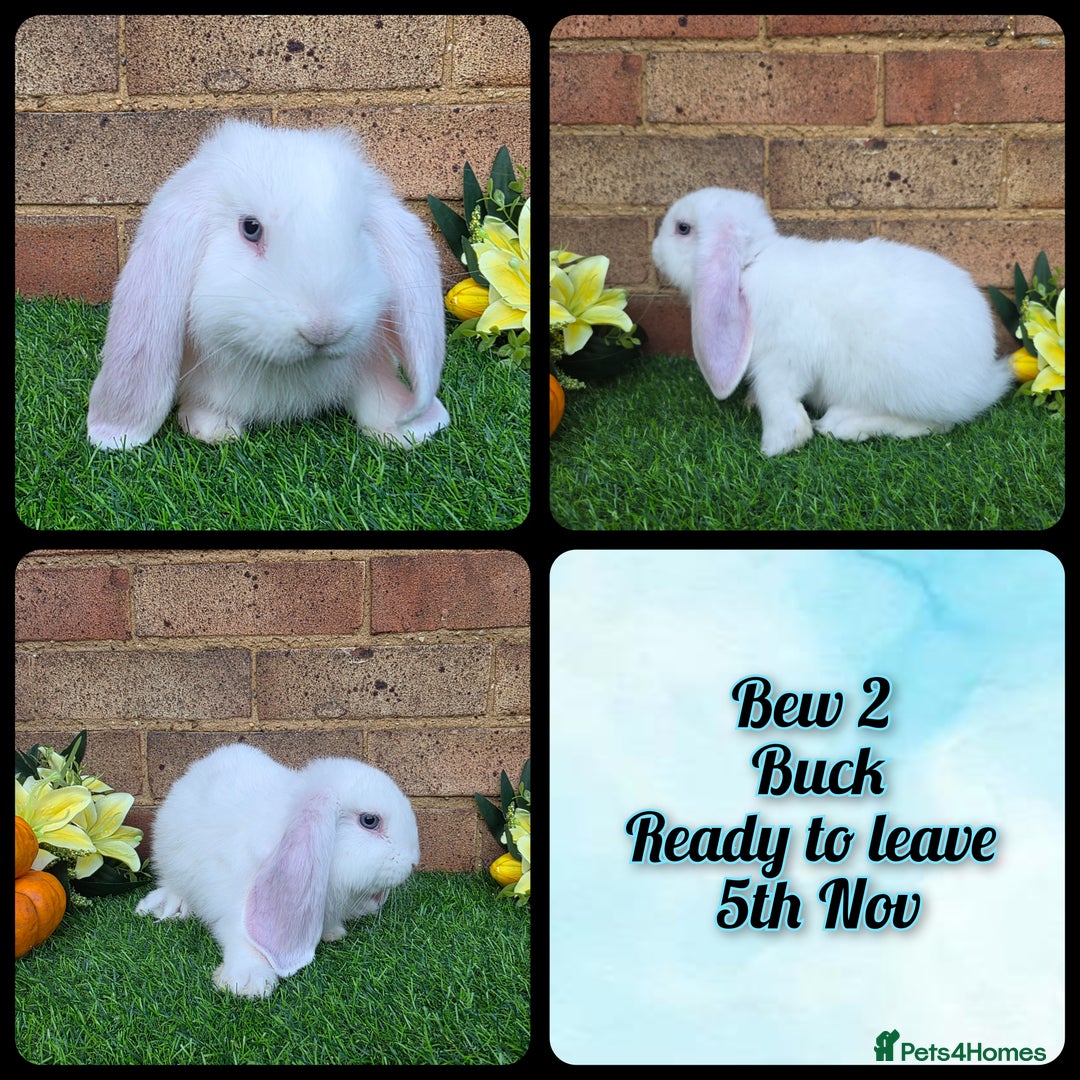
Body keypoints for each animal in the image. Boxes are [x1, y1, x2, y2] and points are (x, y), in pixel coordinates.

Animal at [87, 119, 449, 451]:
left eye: (360, 229)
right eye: (250, 228)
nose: (325, 330)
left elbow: (375, 393)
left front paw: (406, 429)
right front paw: (213, 429)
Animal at [135, 743, 420, 998]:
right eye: (369, 821)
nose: (413, 862)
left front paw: (332, 932)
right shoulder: (237, 906)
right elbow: (242, 939)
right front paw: (247, 983)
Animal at [652, 188, 1014, 456]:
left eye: (682, 228)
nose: (654, 250)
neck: (750, 263)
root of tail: (982, 377)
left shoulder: (781, 360)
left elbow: (779, 400)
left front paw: (777, 445)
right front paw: (752, 404)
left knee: (937, 423)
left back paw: (845, 424)